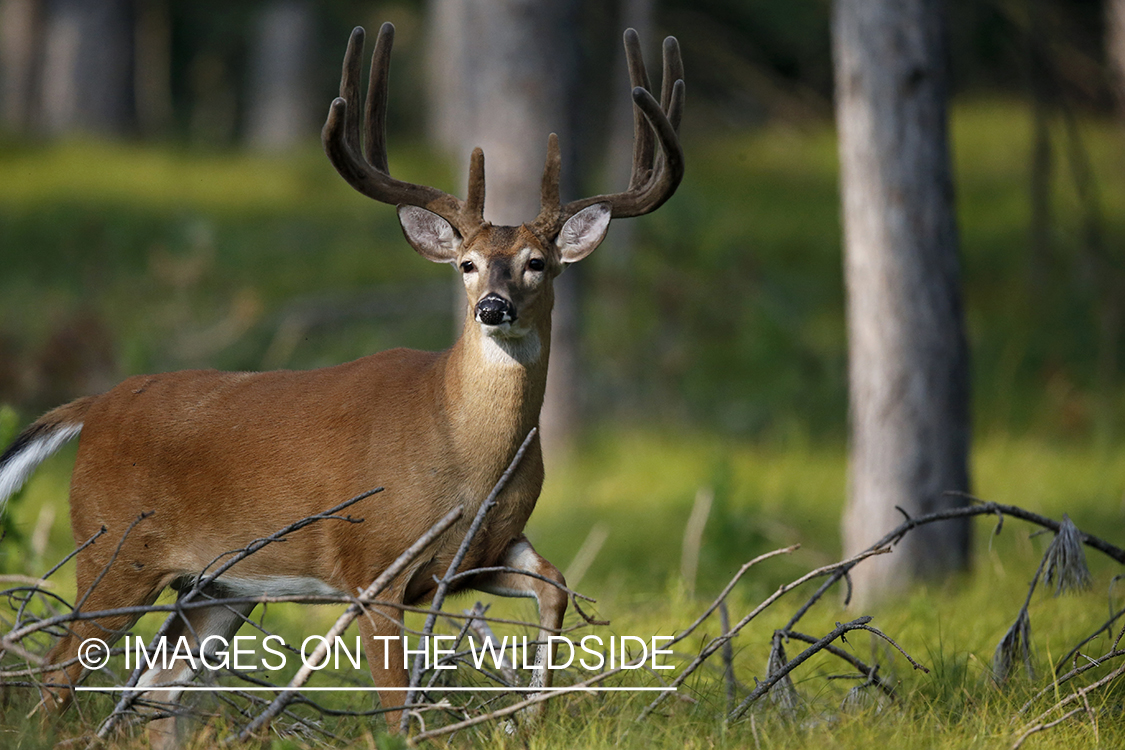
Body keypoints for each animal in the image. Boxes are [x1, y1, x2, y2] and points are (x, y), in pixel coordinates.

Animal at [0, 22, 684, 737]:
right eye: (466, 264)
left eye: (538, 263)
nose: (493, 308)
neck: (461, 451)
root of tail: (94, 405)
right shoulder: (374, 565)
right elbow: (397, 710)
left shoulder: (483, 552)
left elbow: (556, 584)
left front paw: (530, 714)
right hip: (113, 549)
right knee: (56, 675)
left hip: (216, 584)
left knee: (158, 693)